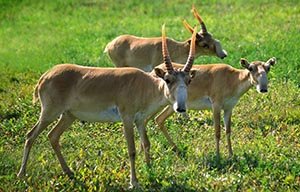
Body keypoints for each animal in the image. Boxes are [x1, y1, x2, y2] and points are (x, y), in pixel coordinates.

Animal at [17, 25, 198, 188]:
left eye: (189, 80)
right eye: (168, 79)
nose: (181, 108)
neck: (145, 85)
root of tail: (45, 76)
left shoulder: (139, 120)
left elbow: (146, 143)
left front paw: (150, 172)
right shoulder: (127, 118)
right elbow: (132, 149)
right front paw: (134, 182)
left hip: (68, 116)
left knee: (52, 136)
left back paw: (69, 172)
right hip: (50, 112)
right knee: (30, 135)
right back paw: (21, 174)